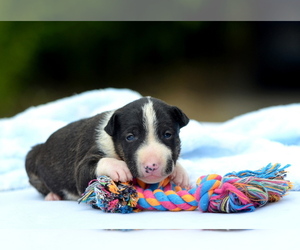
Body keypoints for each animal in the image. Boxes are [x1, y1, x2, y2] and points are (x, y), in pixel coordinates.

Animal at [25, 96, 190, 200]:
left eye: (167, 134)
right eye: (130, 137)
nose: (152, 166)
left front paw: (180, 174)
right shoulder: (86, 159)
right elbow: (89, 168)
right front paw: (119, 168)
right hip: (32, 158)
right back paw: (52, 196)